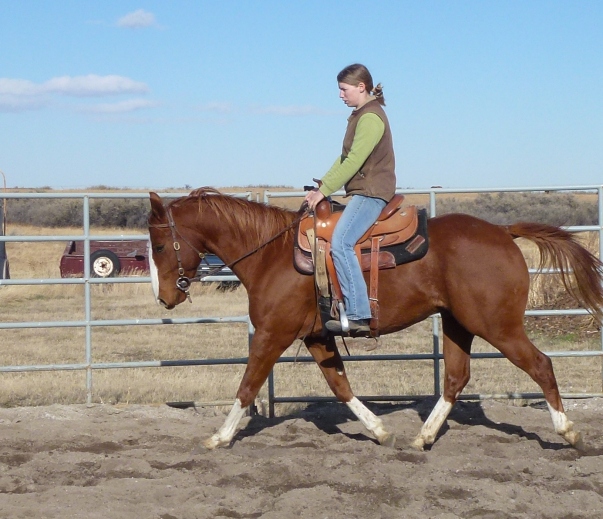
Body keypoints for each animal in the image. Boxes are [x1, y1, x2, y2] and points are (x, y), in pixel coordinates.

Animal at [147, 188, 603, 450]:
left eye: (159, 244)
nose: (165, 296)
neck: (270, 254)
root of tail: (503, 231)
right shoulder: (317, 337)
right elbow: (340, 385)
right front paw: (380, 431)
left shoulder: (271, 334)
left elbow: (247, 385)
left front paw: (221, 436)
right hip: (458, 324)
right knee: (456, 378)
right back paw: (423, 437)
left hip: (498, 327)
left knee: (541, 365)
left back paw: (569, 433)